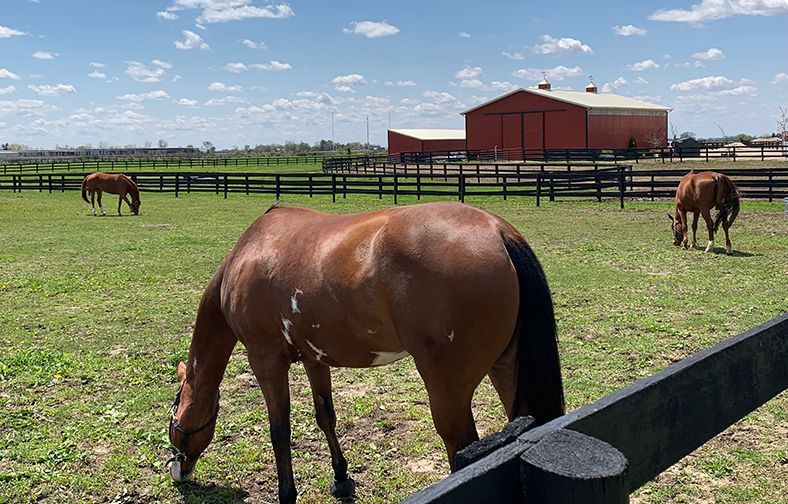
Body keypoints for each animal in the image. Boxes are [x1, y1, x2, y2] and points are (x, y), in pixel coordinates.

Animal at [167, 201, 565, 503]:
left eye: (175, 411)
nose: (178, 471)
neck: (250, 253)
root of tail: (497, 231)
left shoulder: (265, 359)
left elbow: (279, 430)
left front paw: (287, 494)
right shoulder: (314, 358)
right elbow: (325, 415)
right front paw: (341, 478)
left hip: (449, 391)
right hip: (507, 369)